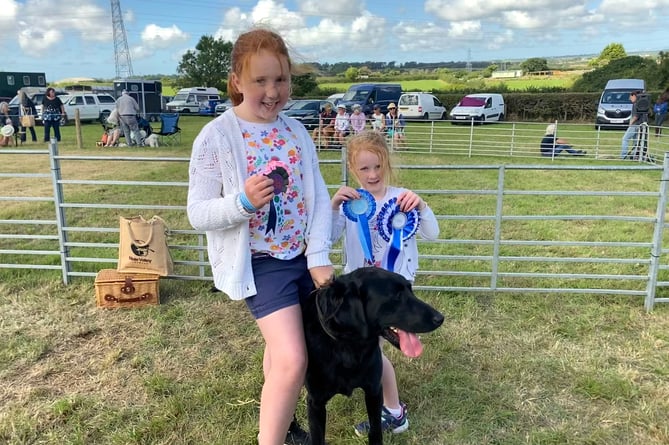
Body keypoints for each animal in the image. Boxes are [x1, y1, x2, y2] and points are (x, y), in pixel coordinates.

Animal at [300, 268, 440, 444]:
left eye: (410, 289)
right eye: (396, 296)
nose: (440, 318)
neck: (350, 346)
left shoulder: (374, 391)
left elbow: (375, 431)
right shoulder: (315, 403)